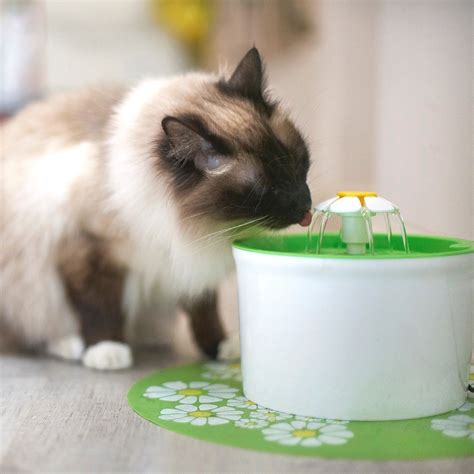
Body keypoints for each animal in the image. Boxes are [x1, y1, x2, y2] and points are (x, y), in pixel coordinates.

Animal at [0, 46, 312, 368]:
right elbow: (99, 308)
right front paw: (106, 350)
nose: (306, 206)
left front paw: (220, 346)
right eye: (268, 190)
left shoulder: (192, 263)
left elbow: (205, 312)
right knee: (33, 332)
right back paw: (73, 346)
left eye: (299, 165)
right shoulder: (88, 251)